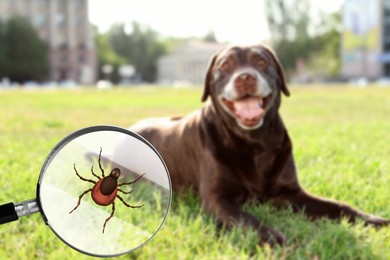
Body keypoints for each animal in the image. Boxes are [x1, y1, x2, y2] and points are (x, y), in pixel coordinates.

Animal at [129, 44, 388, 246]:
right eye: (225, 65)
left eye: (261, 61)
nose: (245, 77)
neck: (254, 143)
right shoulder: (216, 198)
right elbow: (246, 219)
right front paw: (271, 237)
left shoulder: (290, 193)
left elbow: (339, 207)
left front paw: (372, 219)